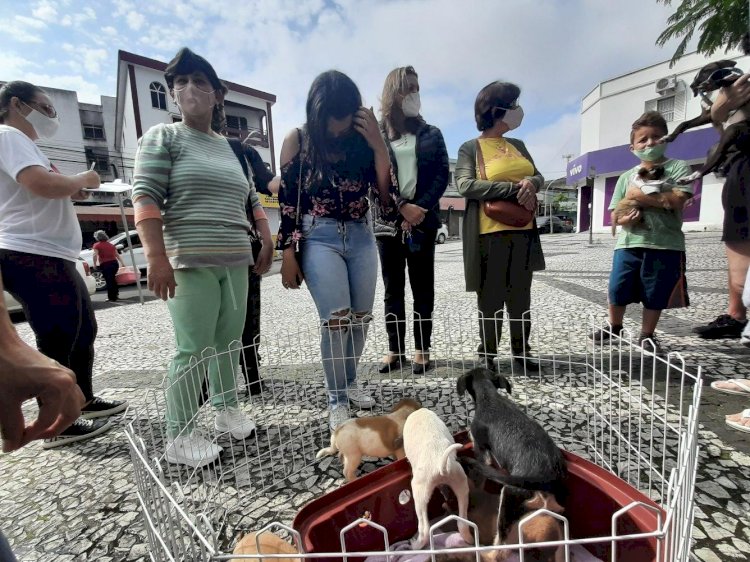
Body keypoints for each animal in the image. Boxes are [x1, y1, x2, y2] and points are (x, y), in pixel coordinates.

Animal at [406, 406, 470, 548]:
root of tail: (441, 466)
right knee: (462, 524)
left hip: (419, 493)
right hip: (461, 483)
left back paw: (415, 545)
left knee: (424, 530)